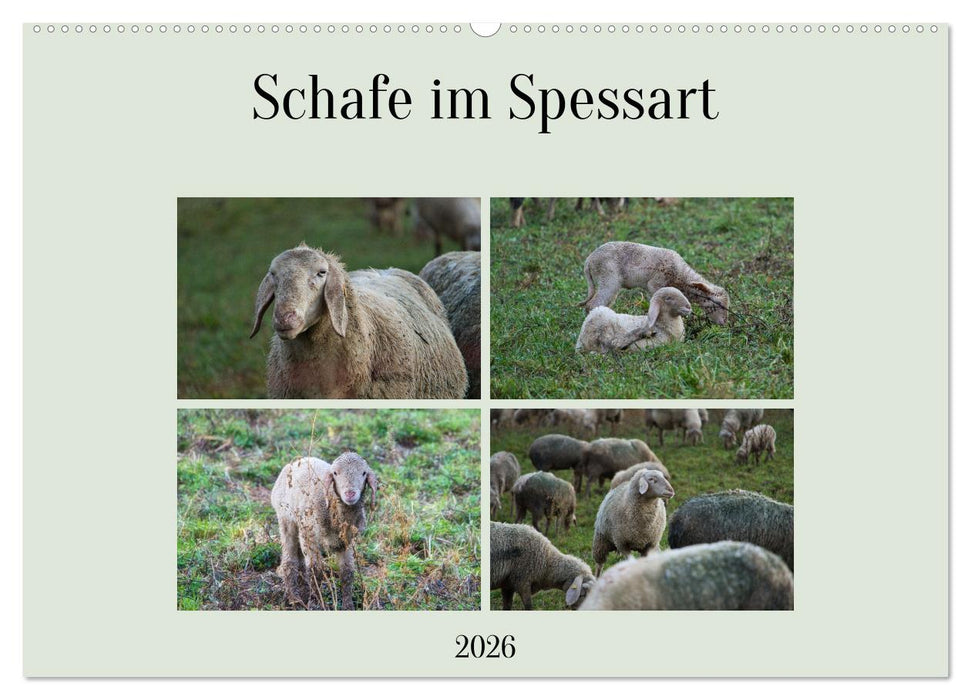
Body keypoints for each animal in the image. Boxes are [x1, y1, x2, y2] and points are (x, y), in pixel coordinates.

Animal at [271, 453, 378, 610]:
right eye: (335, 473)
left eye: (364, 473)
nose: (350, 493)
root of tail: (297, 461)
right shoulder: (309, 535)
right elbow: (316, 570)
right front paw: (316, 601)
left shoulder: (346, 541)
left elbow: (347, 572)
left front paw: (348, 605)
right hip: (286, 519)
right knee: (289, 561)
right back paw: (294, 599)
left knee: (300, 560)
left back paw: (303, 590)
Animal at [580, 241, 730, 325]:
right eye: (718, 304)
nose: (723, 323)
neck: (681, 277)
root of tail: (589, 260)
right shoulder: (655, 284)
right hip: (608, 279)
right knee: (593, 304)